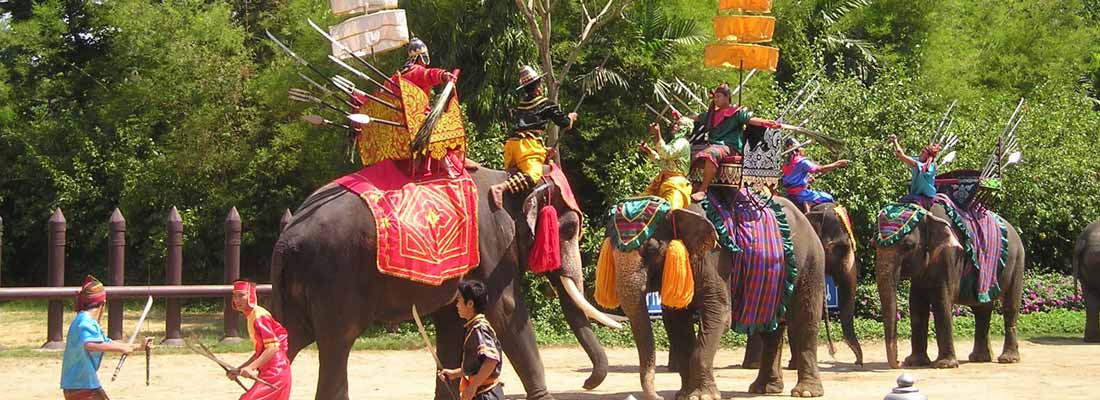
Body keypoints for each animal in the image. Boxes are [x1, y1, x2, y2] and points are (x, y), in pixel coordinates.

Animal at [270, 166, 620, 400]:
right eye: (570, 229)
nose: (587, 382)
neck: (508, 180)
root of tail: (287, 239)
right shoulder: (493, 243)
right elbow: (506, 312)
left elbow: (452, 324)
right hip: (336, 276)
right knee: (337, 344)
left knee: (287, 340)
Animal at [606, 196, 826, 400]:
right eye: (610, 254)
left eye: (652, 250)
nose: (658, 396)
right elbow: (676, 322)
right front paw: (684, 395)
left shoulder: (715, 259)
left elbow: (717, 313)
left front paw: (701, 396)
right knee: (769, 327)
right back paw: (764, 389)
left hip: (812, 262)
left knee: (804, 320)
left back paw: (805, 392)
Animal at [874, 202, 1025, 369]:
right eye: (873, 245)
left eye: (908, 245)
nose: (899, 362)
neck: (928, 213)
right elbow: (916, 304)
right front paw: (914, 362)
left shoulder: (951, 256)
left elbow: (942, 302)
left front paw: (944, 365)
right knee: (982, 310)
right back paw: (980, 358)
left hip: (1018, 261)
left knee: (1010, 308)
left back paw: (1008, 359)